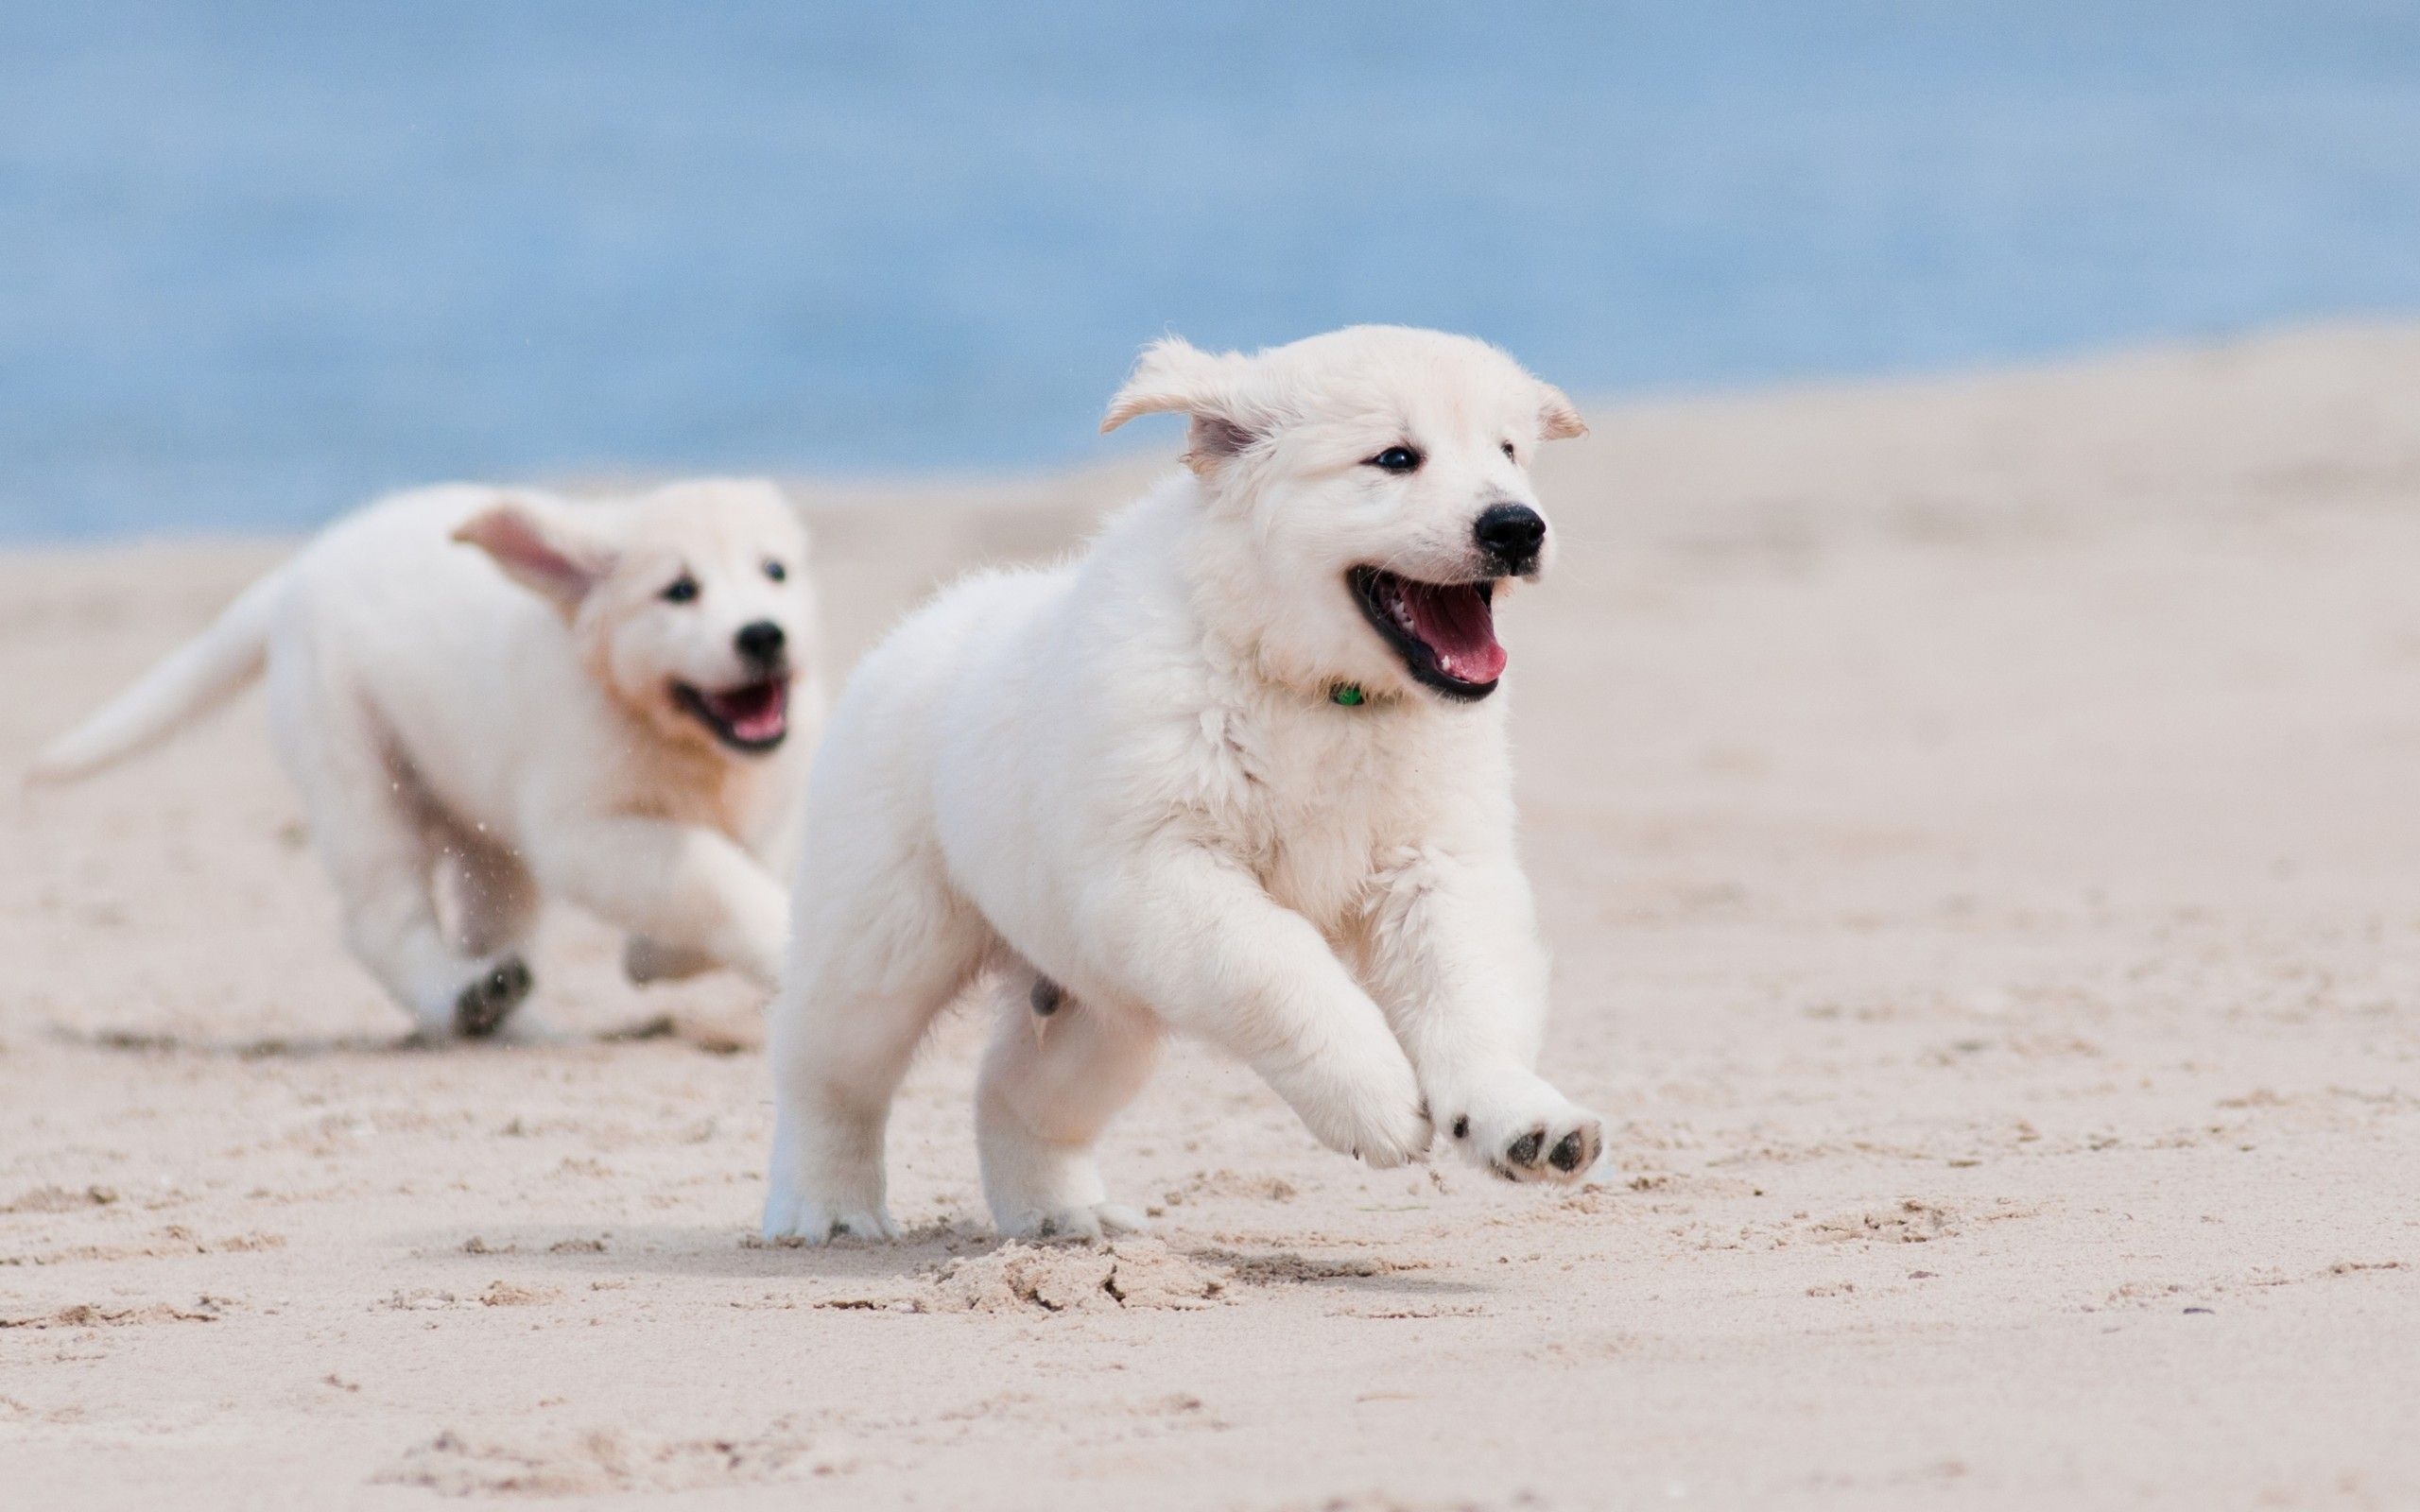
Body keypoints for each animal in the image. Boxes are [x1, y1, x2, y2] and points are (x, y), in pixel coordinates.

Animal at [30, 476, 822, 1030]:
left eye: (776, 572)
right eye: (679, 591)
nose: (764, 634)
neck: (680, 739)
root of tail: (300, 569)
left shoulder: (779, 803)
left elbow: (747, 866)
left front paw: (652, 956)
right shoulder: (584, 831)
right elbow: (717, 877)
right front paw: (760, 942)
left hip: (487, 837)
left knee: (488, 923)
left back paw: (506, 1011)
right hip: (354, 769)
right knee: (383, 918)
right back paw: (457, 998)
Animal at [764, 321, 1606, 1238]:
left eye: (1509, 453)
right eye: (1394, 458)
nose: (1518, 527)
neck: (1319, 695)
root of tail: (920, 626)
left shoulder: (1438, 864)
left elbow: (1468, 988)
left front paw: (1521, 1118)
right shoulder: (1162, 869)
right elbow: (1281, 966)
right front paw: (1374, 1099)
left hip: (1101, 1006)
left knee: (1016, 1093)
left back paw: (1064, 1218)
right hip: (886, 939)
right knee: (827, 1071)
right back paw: (827, 1208)